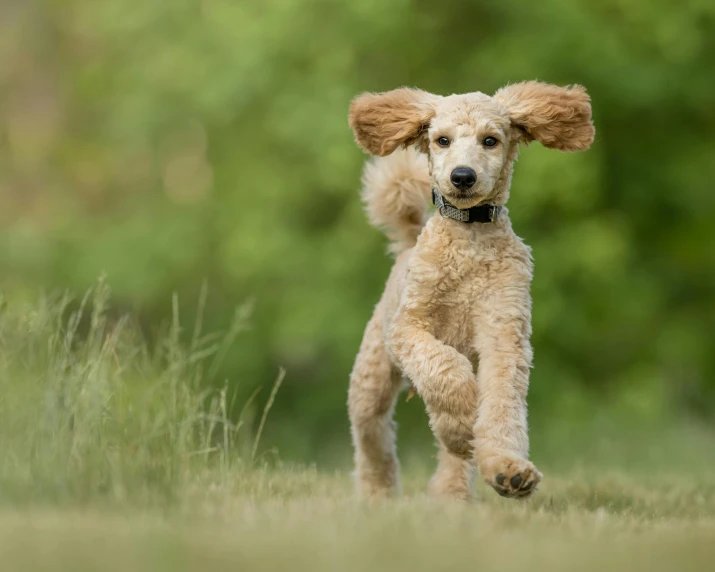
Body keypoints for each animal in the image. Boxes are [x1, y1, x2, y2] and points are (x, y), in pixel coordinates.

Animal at [346, 80, 592, 500]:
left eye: (490, 140)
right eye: (442, 140)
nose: (462, 176)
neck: (469, 239)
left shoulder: (503, 334)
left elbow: (501, 407)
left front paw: (508, 469)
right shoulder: (408, 328)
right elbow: (448, 368)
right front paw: (462, 421)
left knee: (450, 457)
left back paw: (452, 494)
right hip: (372, 375)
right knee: (372, 435)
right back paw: (378, 494)